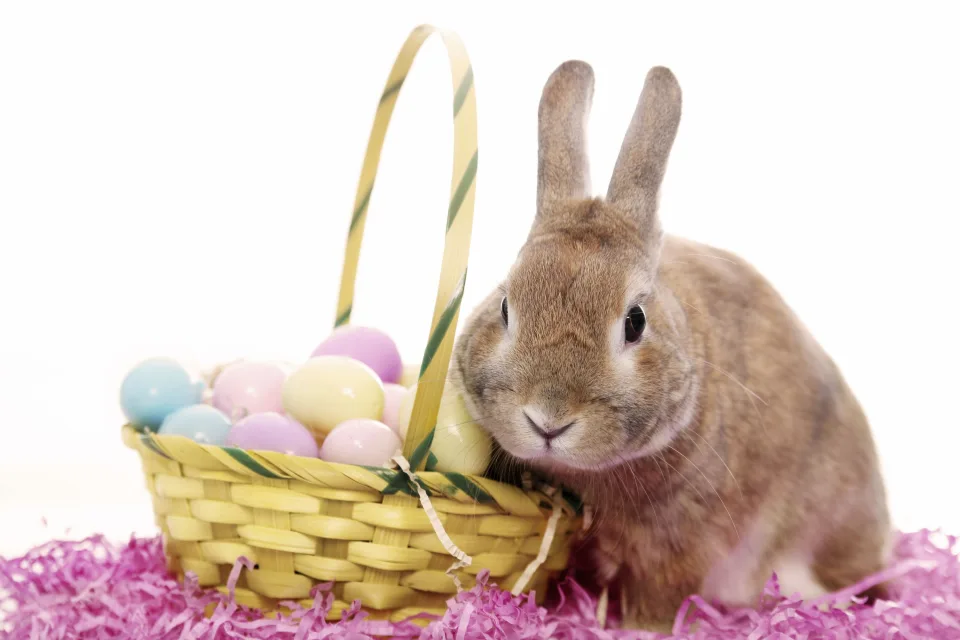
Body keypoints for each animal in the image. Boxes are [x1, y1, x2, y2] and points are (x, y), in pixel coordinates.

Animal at [450, 61, 891, 631]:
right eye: (505, 306)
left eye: (634, 322)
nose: (548, 421)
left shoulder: (681, 546)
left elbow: (660, 600)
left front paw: (637, 630)